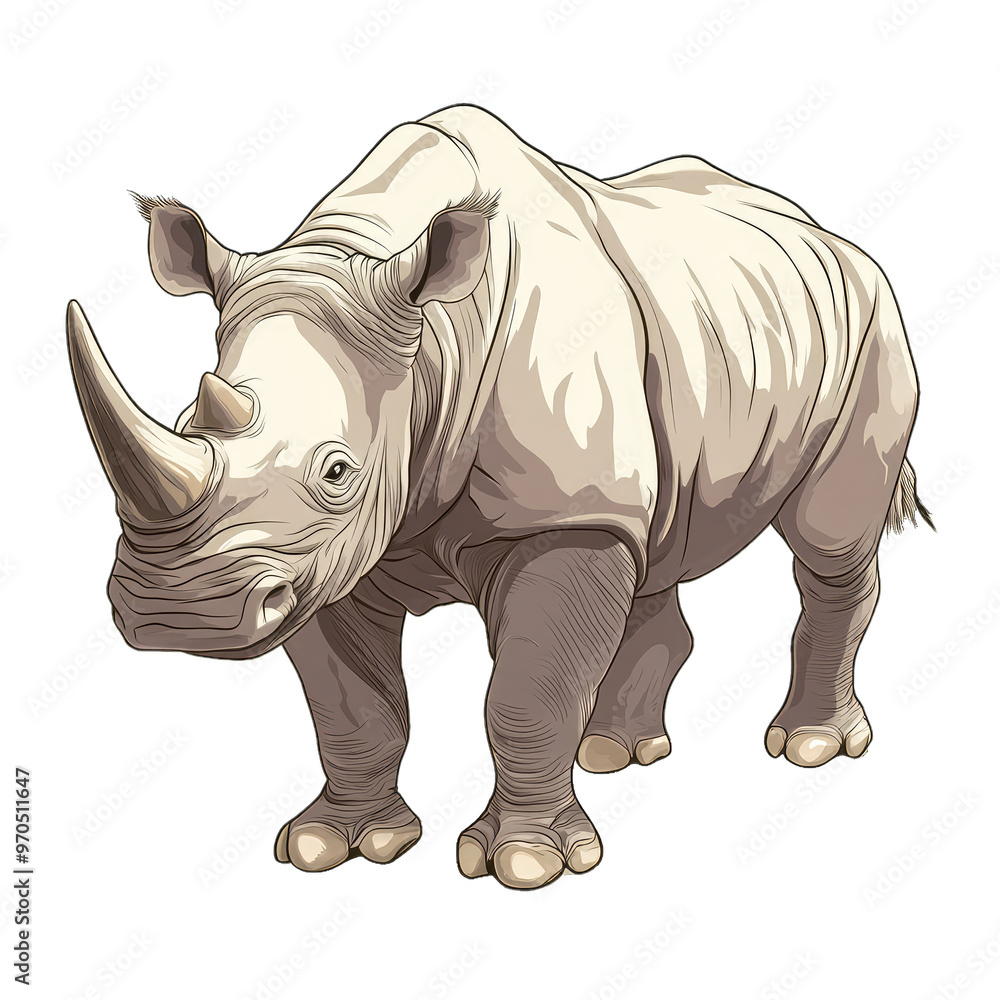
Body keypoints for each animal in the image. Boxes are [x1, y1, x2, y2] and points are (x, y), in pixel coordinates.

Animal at [67, 105, 931, 890]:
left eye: (338, 472)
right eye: (186, 422)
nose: (178, 614)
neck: (425, 336)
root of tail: (832, 237)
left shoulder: (559, 513)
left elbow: (525, 692)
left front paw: (526, 864)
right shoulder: (317, 557)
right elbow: (352, 707)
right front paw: (336, 846)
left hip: (874, 323)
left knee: (827, 544)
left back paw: (810, 746)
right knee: (654, 545)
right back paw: (616, 753)